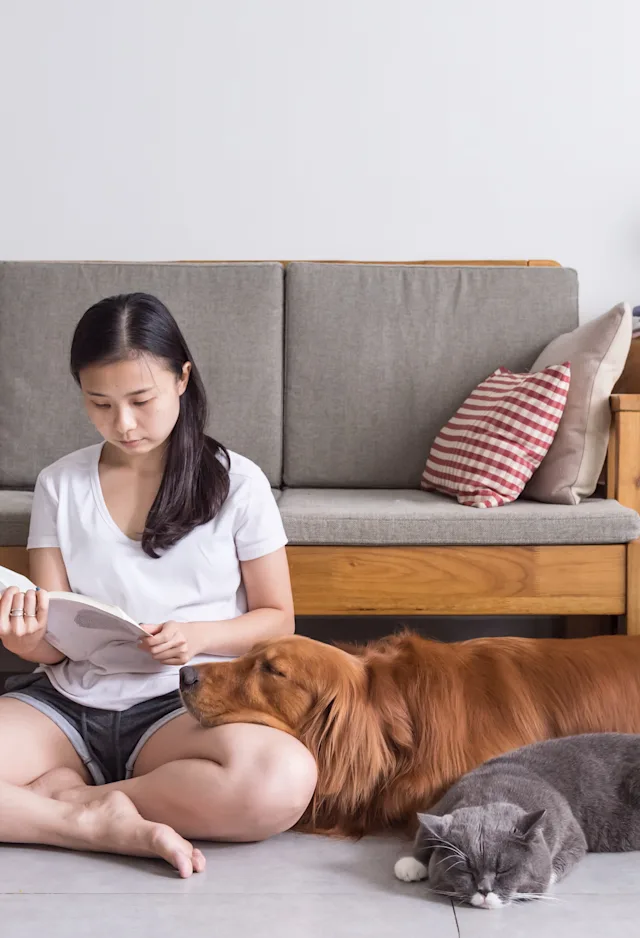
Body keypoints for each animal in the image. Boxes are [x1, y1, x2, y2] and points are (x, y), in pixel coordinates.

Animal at [396, 732, 640, 908]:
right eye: (466, 871)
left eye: (503, 870)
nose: (484, 890)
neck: (491, 791)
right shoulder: (443, 804)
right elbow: (424, 830)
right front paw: (412, 864)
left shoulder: (573, 834)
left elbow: (562, 860)